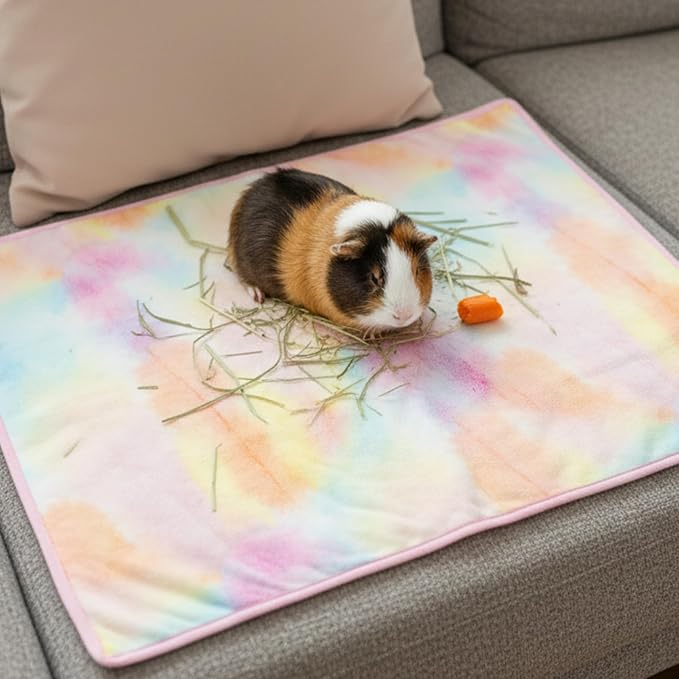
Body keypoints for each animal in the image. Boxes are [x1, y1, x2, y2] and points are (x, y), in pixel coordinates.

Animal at [227, 168, 438, 332]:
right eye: (374, 278)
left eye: (416, 270)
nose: (404, 316)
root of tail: (247, 195)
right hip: (243, 265)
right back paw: (258, 295)